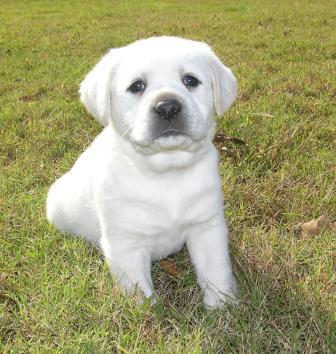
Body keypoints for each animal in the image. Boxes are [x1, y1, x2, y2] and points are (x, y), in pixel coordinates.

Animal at [46, 35, 238, 306]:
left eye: (190, 80)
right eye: (137, 86)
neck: (167, 172)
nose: (168, 107)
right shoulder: (126, 245)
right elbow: (141, 296)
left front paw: (223, 307)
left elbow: (216, 272)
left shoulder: (207, 227)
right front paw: (149, 313)